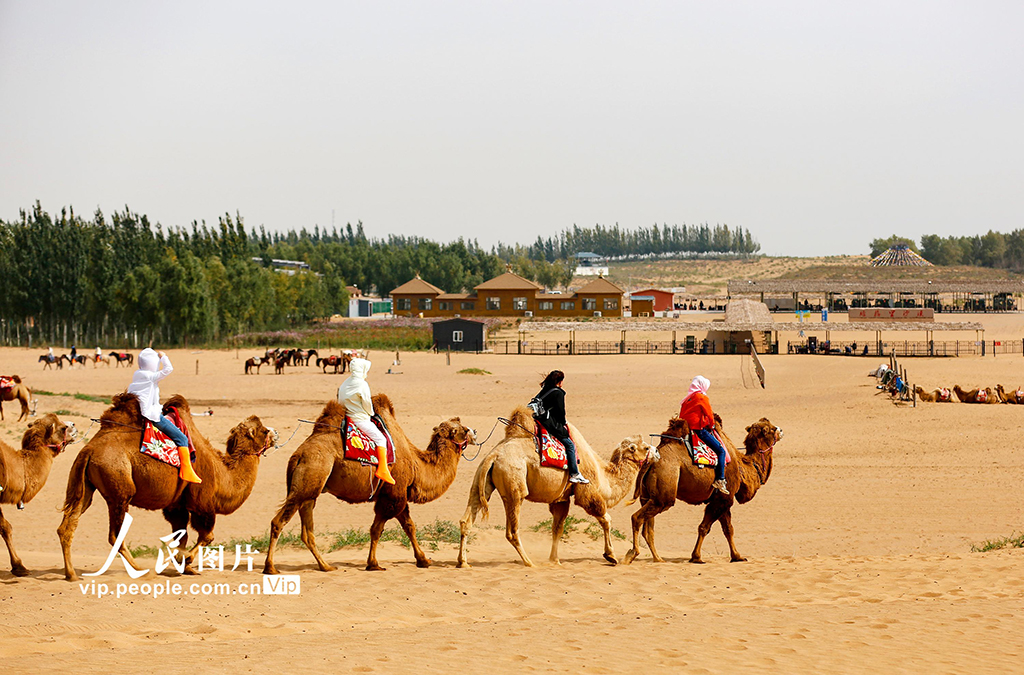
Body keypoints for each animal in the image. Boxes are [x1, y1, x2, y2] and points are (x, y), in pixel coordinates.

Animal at [0, 411, 76, 577]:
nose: (74, 425)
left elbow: (5, 527)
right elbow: (5, 526)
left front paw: (18, 567)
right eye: (63, 427)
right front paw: (20, 567)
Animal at [58, 393, 276, 581]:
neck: (221, 474)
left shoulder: (176, 505)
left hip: (86, 487)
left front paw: (183, 565)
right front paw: (187, 562)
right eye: (264, 430)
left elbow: (182, 536)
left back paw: (71, 574)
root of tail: (88, 449)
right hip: (119, 491)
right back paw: (140, 570)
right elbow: (207, 535)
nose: (276, 433)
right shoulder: (202, 503)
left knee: (68, 525)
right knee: (115, 535)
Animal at [262, 395, 473, 577]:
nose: (475, 432)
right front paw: (373, 564)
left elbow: (409, 526)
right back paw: (270, 567)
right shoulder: (393, 496)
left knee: (307, 531)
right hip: (309, 477)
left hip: (310, 490)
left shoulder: (397, 495)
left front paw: (423, 560)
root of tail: (297, 455)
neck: (416, 464)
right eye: (463, 429)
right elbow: (377, 529)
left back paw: (326, 566)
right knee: (278, 522)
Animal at [454, 407, 655, 569]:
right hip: (514, 488)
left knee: (466, 520)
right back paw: (529, 562)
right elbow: (606, 519)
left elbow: (557, 527)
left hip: (480, 481)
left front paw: (555, 559)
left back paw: (463, 562)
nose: (657, 453)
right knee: (512, 531)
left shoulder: (561, 498)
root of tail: (493, 456)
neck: (602, 473)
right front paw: (611, 556)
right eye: (645, 448)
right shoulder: (587, 492)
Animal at [618, 413, 778, 569]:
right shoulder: (723, 499)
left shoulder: (722, 499)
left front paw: (737, 557)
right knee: (637, 518)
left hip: (648, 497)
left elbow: (728, 529)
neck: (742, 466)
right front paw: (696, 557)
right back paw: (631, 555)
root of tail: (650, 461)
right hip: (664, 492)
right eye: (771, 428)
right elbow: (704, 527)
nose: (781, 430)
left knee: (648, 529)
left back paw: (658, 559)